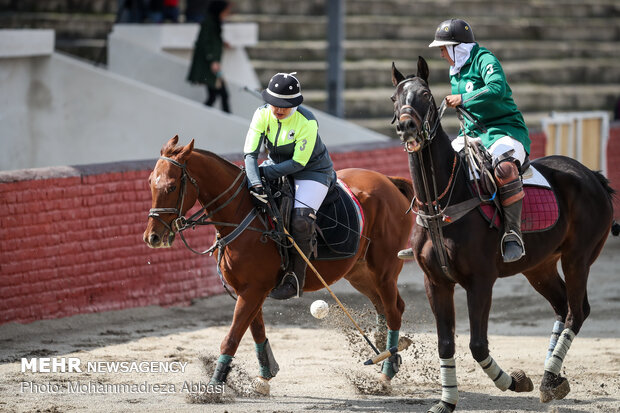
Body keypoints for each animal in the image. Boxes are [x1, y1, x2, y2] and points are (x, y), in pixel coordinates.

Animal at [145, 136, 414, 392]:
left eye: (172, 186)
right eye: (150, 183)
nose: (152, 237)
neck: (241, 214)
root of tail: (390, 181)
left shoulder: (254, 290)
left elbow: (232, 337)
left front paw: (213, 387)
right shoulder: (247, 289)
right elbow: (256, 331)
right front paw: (264, 376)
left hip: (384, 270)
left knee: (394, 310)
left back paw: (386, 371)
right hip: (358, 271)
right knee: (383, 307)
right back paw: (385, 351)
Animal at [392, 58, 616, 412]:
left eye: (426, 95)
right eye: (395, 97)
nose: (406, 127)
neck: (443, 199)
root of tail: (593, 175)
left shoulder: (481, 281)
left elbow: (478, 345)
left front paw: (514, 381)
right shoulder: (435, 282)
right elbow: (446, 343)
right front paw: (446, 401)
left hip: (578, 257)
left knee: (576, 312)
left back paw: (548, 377)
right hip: (538, 266)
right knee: (562, 305)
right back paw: (552, 377)